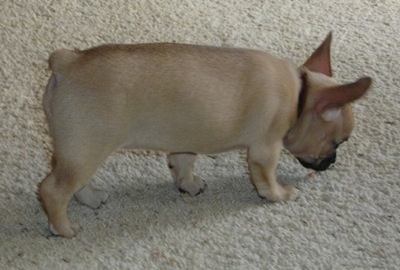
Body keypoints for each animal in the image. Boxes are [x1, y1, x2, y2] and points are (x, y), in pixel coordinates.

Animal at [38, 32, 372, 237]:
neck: (300, 94)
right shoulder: (265, 151)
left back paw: (91, 199)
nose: (332, 161)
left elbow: (183, 163)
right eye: (338, 142)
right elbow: (268, 180)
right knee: (53, 190)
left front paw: (188, 185)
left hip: (79, 152)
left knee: (72, 180)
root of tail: (67, 62)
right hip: (86, 151)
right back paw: (63, 228)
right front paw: (280, 195)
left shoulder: (185, 142)